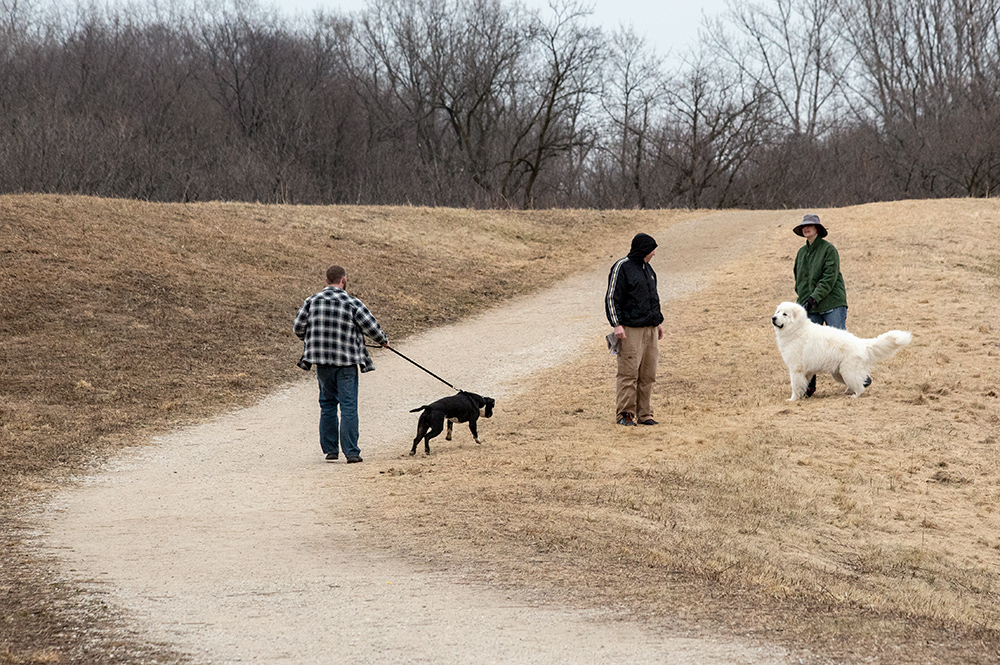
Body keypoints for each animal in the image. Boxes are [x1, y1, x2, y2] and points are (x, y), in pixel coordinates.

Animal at [772, 300, 916, 400]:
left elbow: (795, 385)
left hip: (847, 372)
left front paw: (793, 399)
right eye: (778, 312)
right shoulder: (806, 372)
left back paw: (854, 396)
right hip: (839, 374)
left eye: (785, 314)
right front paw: (802, 396)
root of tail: (862, 343)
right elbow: (803, 384)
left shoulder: (795, 369)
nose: (773, 318)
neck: (797, 330)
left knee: (860, 387)